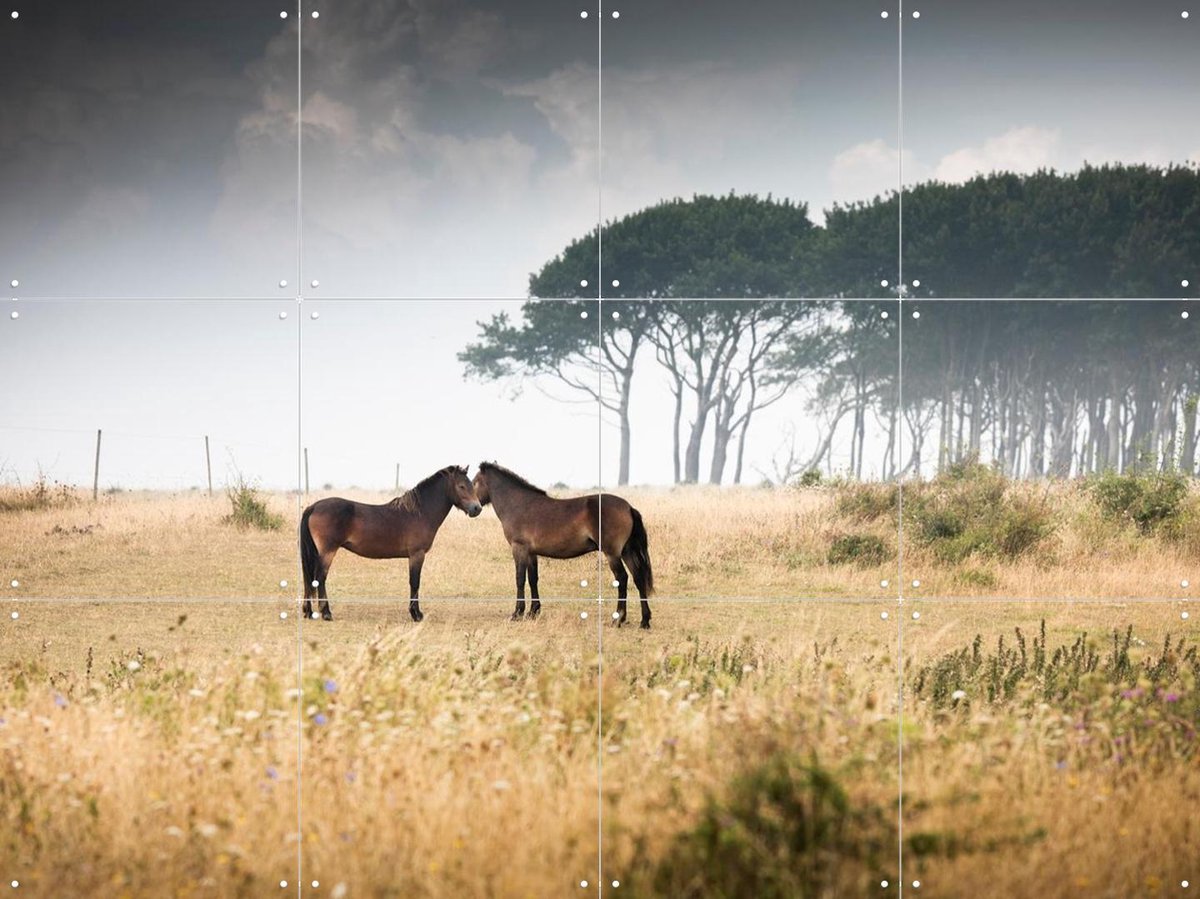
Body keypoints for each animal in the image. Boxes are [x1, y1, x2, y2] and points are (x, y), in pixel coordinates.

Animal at [299, 465, 482, 622]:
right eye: (461, 486)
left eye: (471, 485)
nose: (477, 508)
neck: (420, 513)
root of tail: (313, 507)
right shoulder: (417, 554)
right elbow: (414, 582)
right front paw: (416, 614)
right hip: (328, 551)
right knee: (320, 577)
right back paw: (326, 613)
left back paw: (309, 611)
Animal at [472, 462, 654, 628]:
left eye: (473, 483)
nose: (473, 509)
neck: (518, 504)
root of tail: (628, 507)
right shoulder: (531, 553)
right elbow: (533, 579)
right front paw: (533, 612)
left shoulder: (519, 549)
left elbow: (520, 579)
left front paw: (517, 613)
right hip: (627, 551)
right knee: (638, 578)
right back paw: (644, 620)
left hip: (612, 554)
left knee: (622, 579)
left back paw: (618, 619)